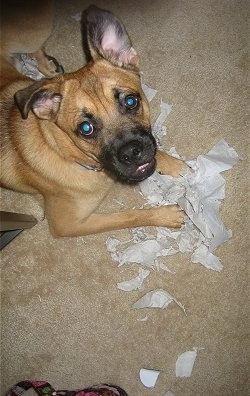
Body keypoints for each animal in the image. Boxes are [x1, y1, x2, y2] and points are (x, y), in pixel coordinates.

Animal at [0, 3, 188, 237]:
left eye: (131, 101)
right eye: (86, 128)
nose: (131, 153)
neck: (64, 151)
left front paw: (175, 165)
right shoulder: (67, 225)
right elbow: (126, 217)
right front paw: (165, 215)